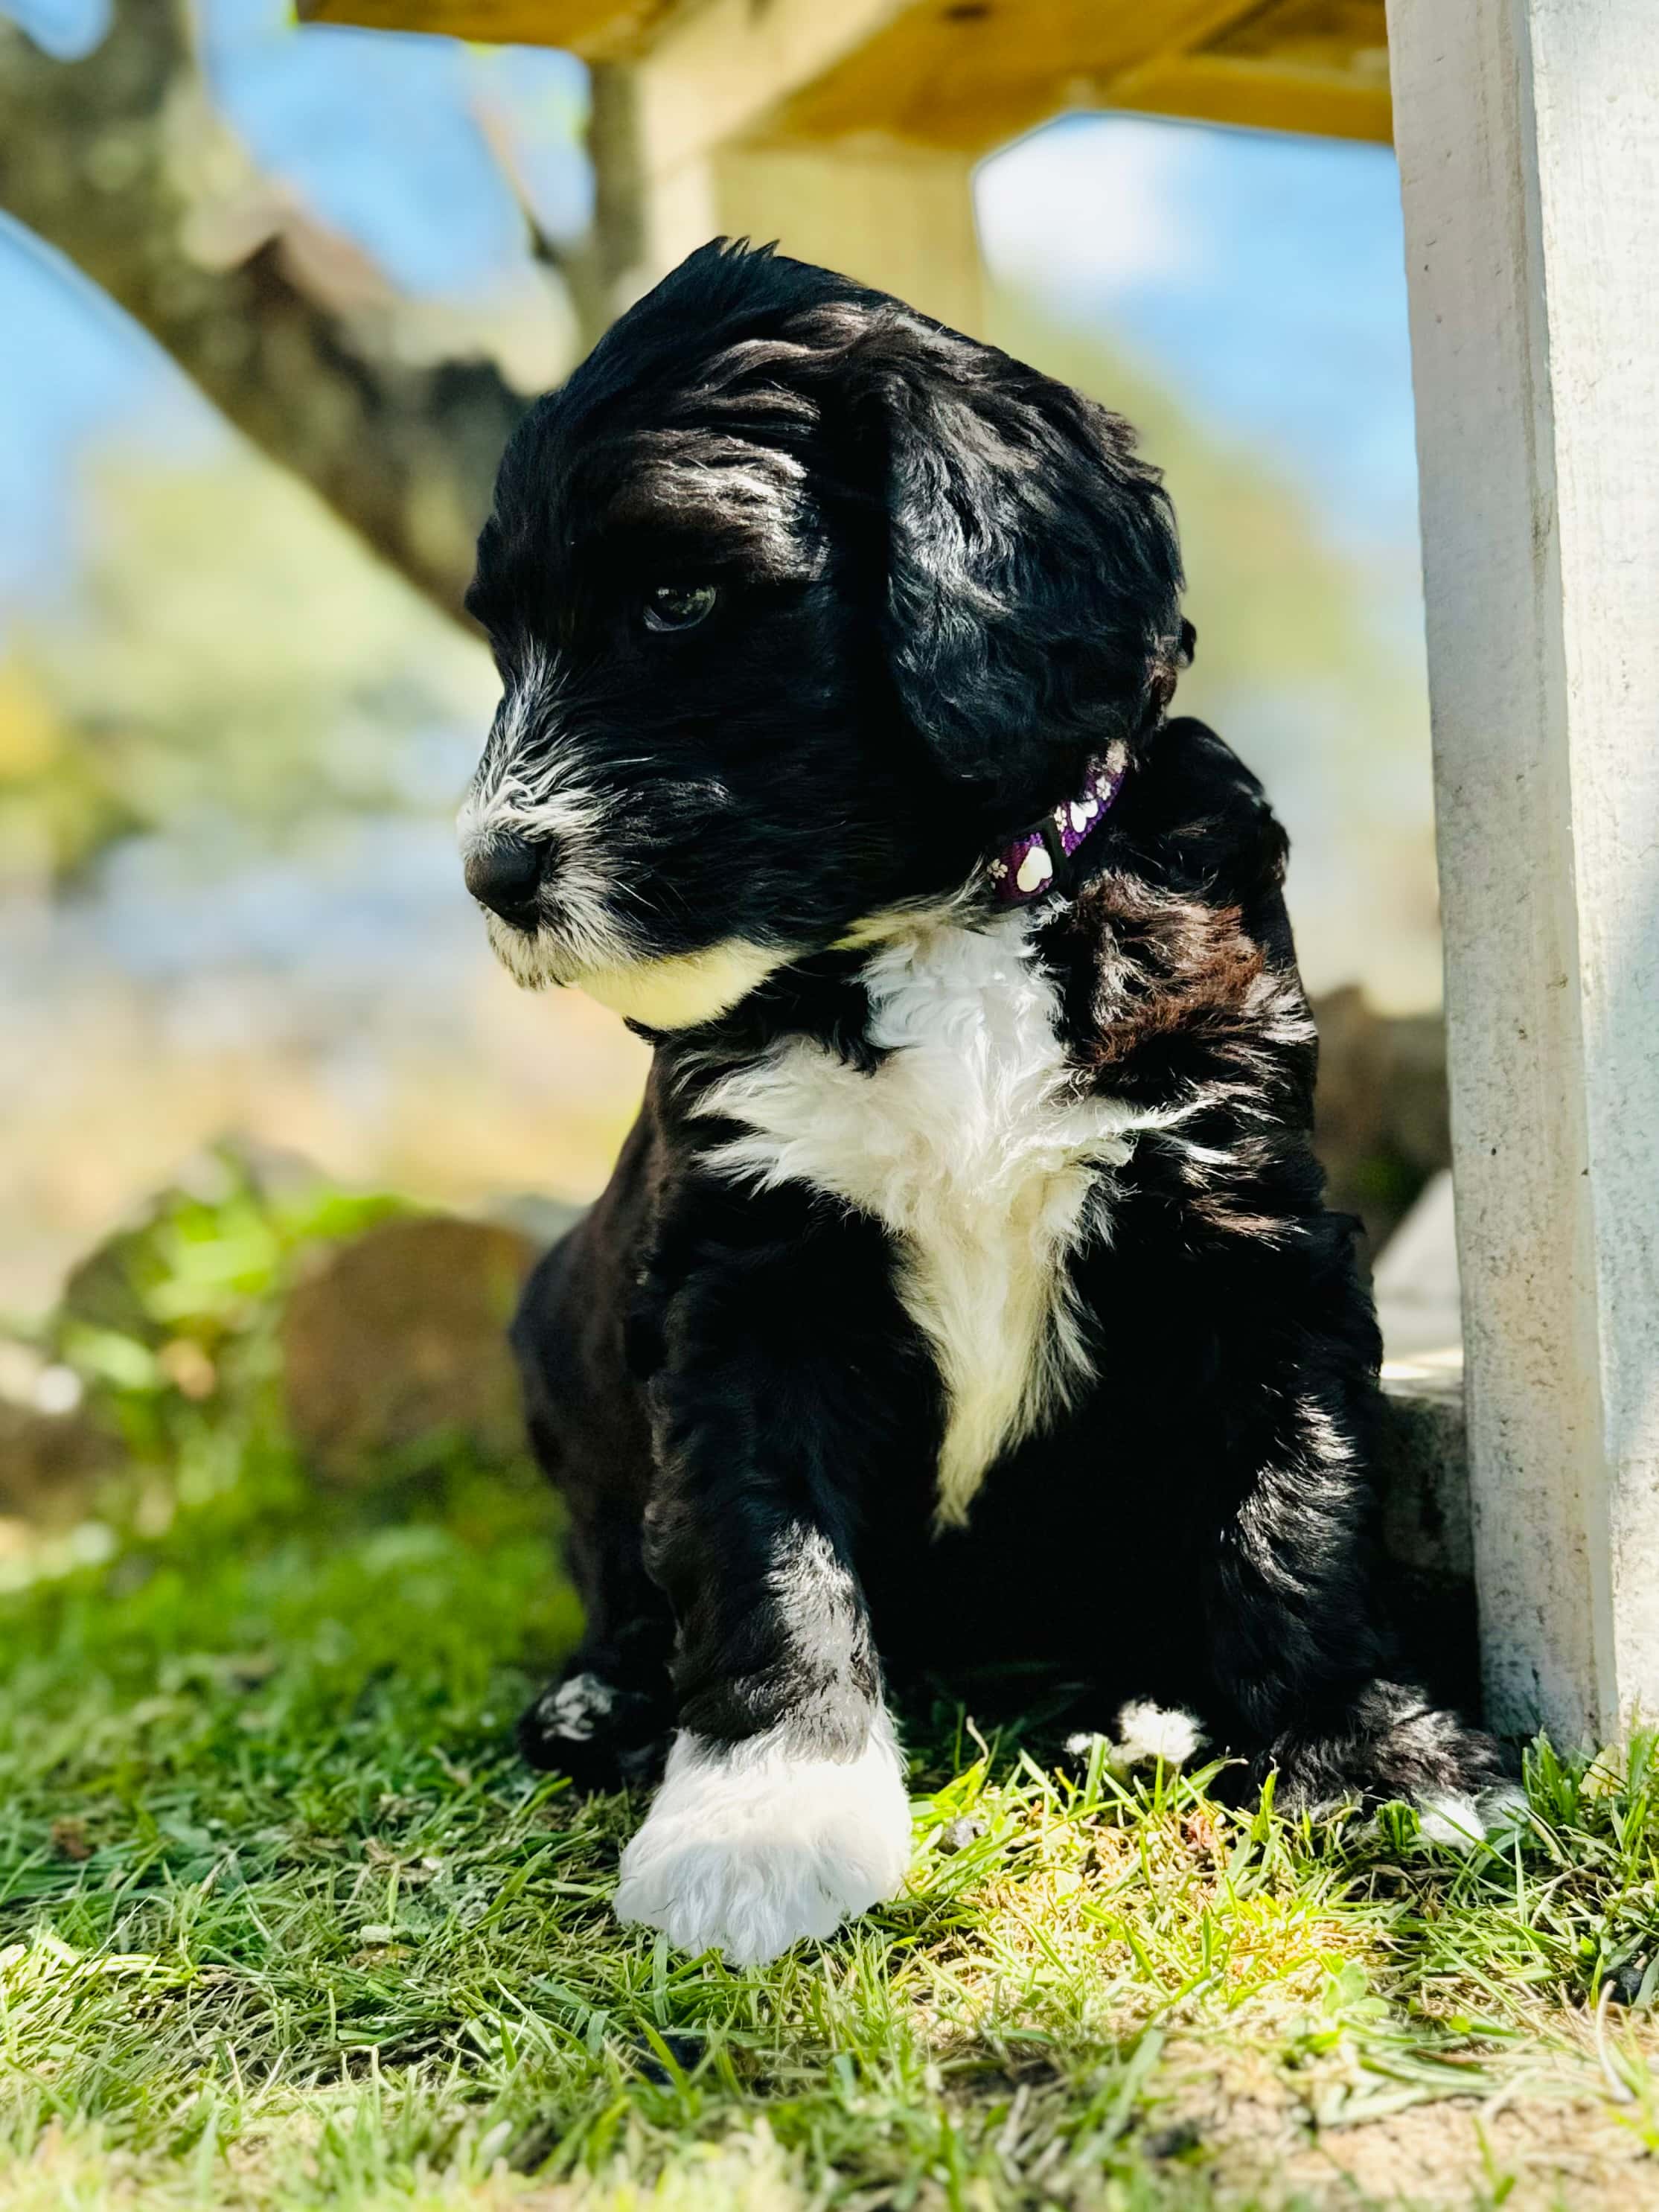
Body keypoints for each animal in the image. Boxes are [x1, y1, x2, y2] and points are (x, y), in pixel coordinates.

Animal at [455, 246, 1503, 1973]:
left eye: (676, 601)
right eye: (504, 642)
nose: (492, 871)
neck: (944, 917)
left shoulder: (1240, 1218)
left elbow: (1294, 1494)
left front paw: (1370, 1750)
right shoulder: (750, 1273)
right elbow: (756, 1545)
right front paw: (763, 1821)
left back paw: (1134, 1710)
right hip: (555, 1322)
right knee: (619, 1561)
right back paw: (606, 1696)